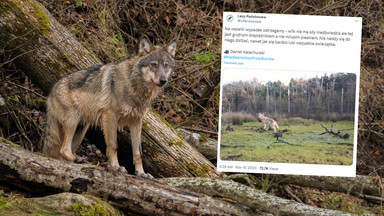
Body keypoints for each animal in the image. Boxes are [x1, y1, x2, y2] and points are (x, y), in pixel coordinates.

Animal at [42, 37, 176, 179]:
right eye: (154, 64)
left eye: (166, 65)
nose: (163, 80)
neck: (134, 87)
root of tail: (51, 92)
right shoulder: (111, 116)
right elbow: (113, 146)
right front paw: (116, 166)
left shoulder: (136, 122)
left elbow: (138, 153)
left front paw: (141, 173)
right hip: (72, 122)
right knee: (64, 149)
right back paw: (76, 159)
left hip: (80, 131)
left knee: (62, 153)